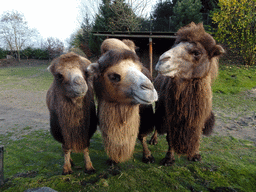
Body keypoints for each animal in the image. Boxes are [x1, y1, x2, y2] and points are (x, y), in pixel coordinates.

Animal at [152, 22, 224, 165]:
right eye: (175, 46)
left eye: (197, 52)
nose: (162, 60)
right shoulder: (170, 115)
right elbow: (170, 137)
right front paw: (169, 158)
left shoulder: (200, 117)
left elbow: (198, 135)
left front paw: (195, 155)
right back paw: (153, 140)